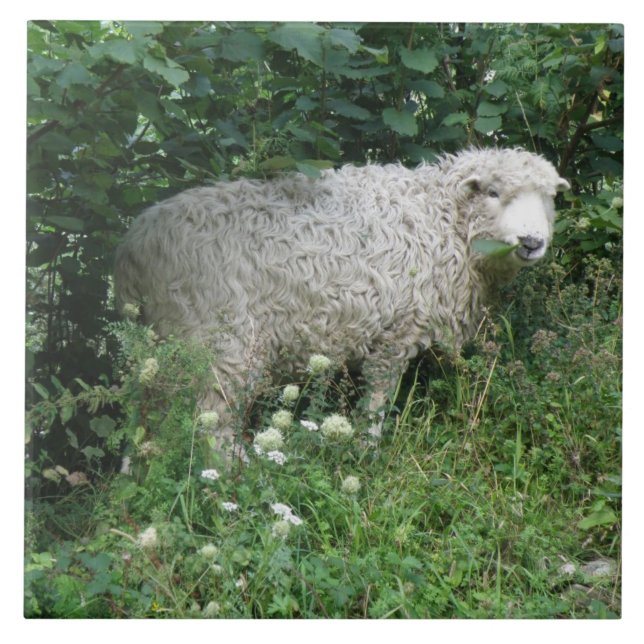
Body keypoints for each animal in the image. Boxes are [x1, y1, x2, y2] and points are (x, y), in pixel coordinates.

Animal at [114, 147, 570, 449]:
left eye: (549, 197)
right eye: (493, 192)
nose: (532, 242)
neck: (441, 219)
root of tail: (134, 248)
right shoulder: (396, 332)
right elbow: (377, 401)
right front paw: (367, 451)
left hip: (157, 345)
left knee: (143, 413)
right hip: (221, 342)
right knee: (212, 421)